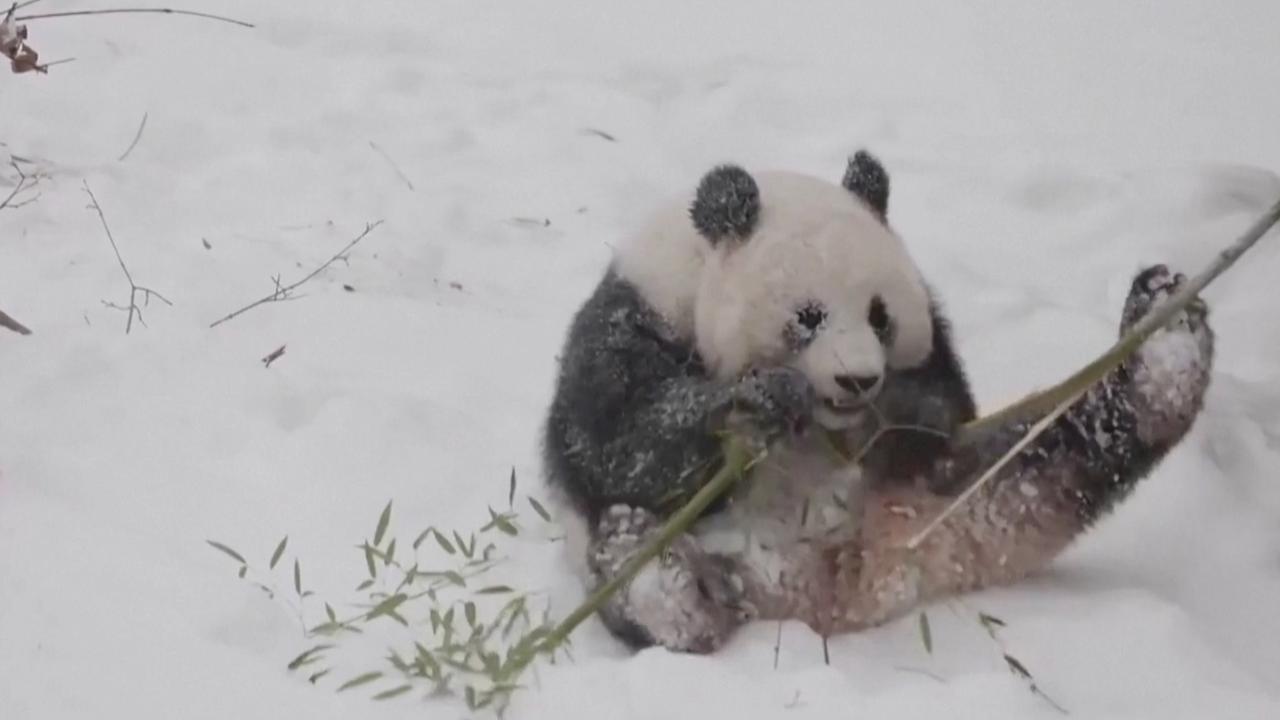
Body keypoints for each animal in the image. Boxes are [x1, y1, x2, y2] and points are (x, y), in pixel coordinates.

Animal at [537, 151, 1208, 650]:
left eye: (880, 316)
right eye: (808, 316)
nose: (858, 381)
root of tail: (850, 580)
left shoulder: (931, 343)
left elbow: (942, 410)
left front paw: (905, 411)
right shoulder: (634, 319)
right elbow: (621, 448)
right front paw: (757, 403)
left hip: (966, 491)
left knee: (1058, 446)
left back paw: (1165, 341)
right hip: (716, 561)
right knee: (641, 576)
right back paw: (659, 577)